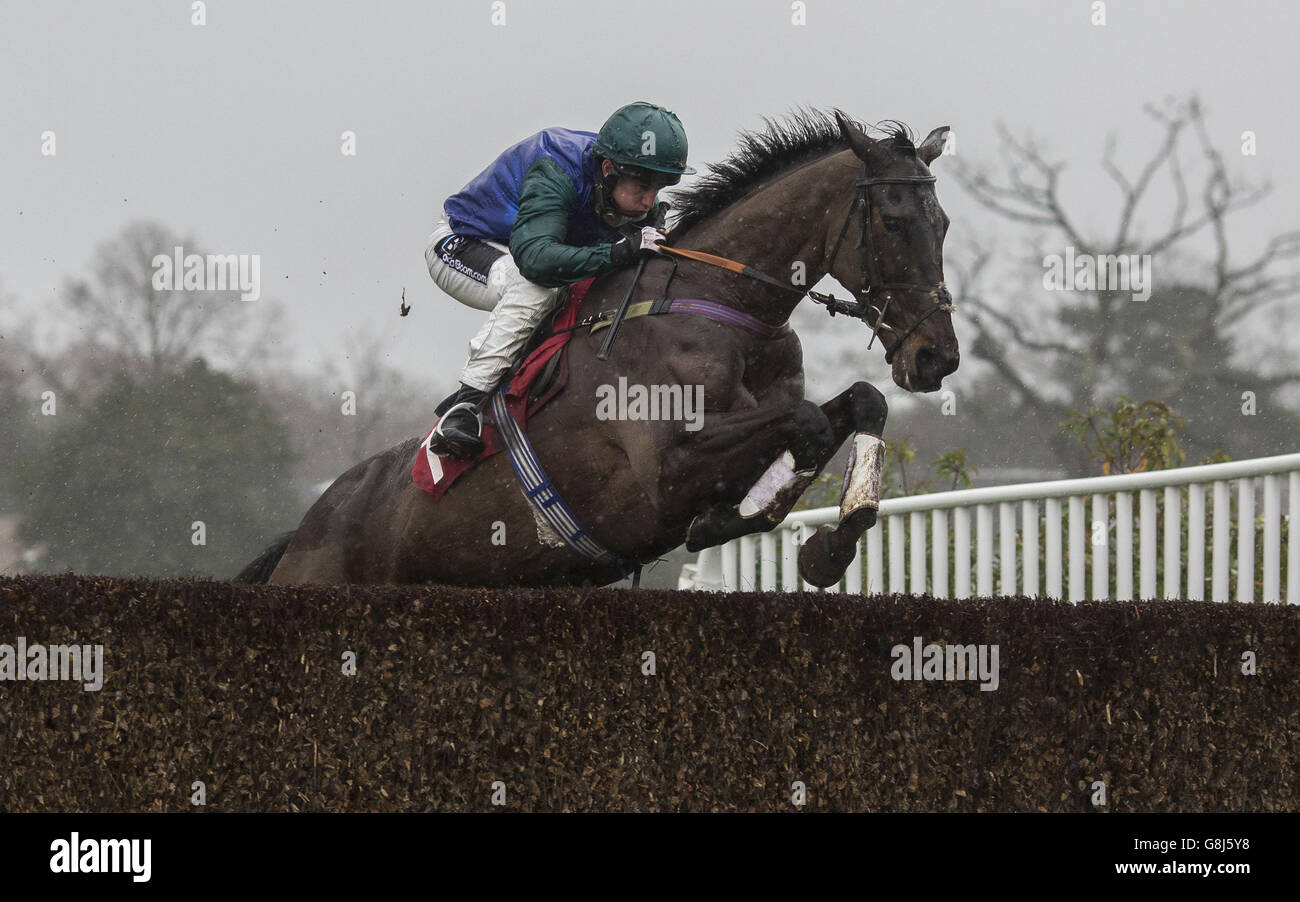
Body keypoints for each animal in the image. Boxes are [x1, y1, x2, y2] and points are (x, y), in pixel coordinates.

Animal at [241, 111, 956, 592]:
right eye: (894, 222)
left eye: (943, 223)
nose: (937, 356)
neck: (721, 302)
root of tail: (304, 531)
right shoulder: (665, 467)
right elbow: (804, 424)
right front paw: (747, 520)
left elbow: (860, 403)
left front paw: (827, 547)